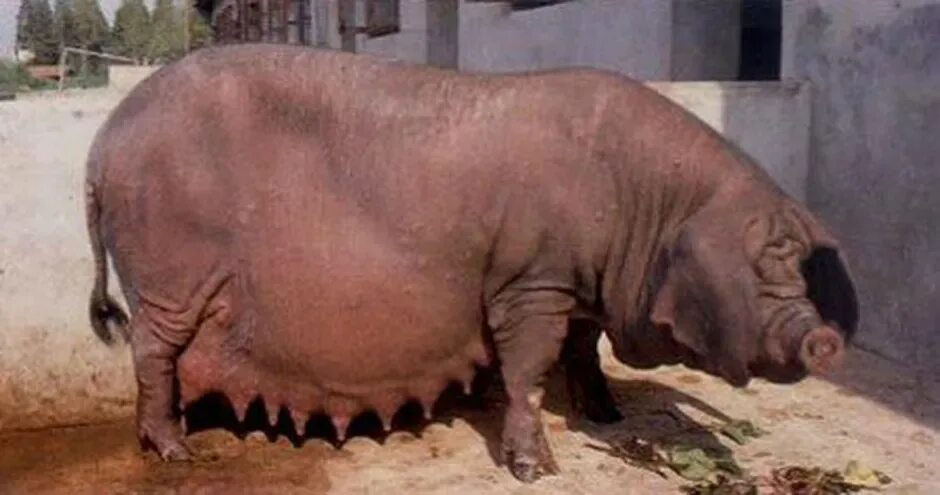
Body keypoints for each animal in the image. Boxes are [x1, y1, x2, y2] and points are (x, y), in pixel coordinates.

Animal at [85, 44, 858, 482]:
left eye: (797, 263)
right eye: (763, 265)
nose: (824, 335)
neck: (646, 205)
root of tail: (104, 143)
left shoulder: (575, 282)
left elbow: (583, 349)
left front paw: (606, 415)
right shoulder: (531, 279)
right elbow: (528, 369)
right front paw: (535, 470)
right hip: (168, 274)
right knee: (151, 354)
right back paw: (175, 451)